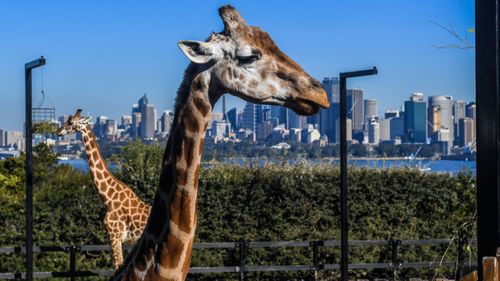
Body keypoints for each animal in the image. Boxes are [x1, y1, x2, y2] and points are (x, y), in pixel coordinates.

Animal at [56, 109, 150, 266]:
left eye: (70, 122)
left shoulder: (115, 236)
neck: (109, 198)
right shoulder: (121, 239)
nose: (58, 131)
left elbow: (117, 265)